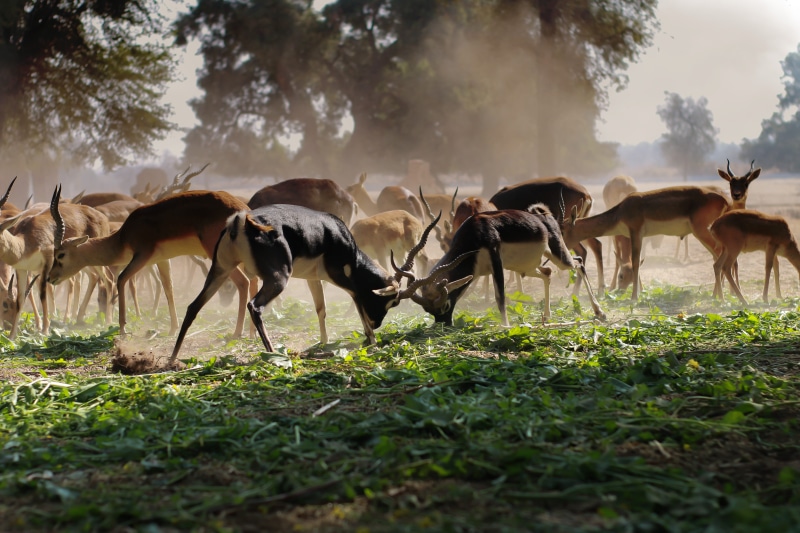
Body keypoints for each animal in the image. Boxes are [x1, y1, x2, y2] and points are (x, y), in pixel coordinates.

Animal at [48, 184, 252, 339]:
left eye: (61, 255)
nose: (50, 278)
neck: (123, 237)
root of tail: (241, 209)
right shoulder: (162, 260)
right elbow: (168, 288)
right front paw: (172, 328)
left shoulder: (142, 255)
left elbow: (121, 279)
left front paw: (122, 330)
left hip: (219, 255)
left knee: (244, 282)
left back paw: (237, 333)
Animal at [170, 204, 470, 362]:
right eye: (393, 301)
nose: (377, 324)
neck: (340, 237)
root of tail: (243, 223)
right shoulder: (343, 277)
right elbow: (357, 301)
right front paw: (371, 340)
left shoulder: (314, 278)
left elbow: (321, 309)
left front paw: (324, 342)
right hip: (277, 279)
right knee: (254, 306)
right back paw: (273, 354)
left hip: (219, 270)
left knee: (193, 307)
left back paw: (172, 359)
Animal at [406, 204, 606, 327]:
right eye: (428, 310)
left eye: (445, 306)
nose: (445, 325)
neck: (474, 235)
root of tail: (544, 217)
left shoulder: (496, 261)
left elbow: (500, 297)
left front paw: (506, 326)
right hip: (526, 267)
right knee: (548, 272)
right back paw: (548, 316)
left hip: (560, 257)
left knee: (579, 262)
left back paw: (600, 312)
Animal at [561, 185, 732, 302]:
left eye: (562, 230)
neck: (621, 211)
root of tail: (723, 199)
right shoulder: (639, 236)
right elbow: (637, 262)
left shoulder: (635, 233)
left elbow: (636, 262)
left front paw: (634, 297)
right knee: (718, 258)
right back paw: (716, 295)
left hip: (702, 232)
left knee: (720, 259)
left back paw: (720, 297)